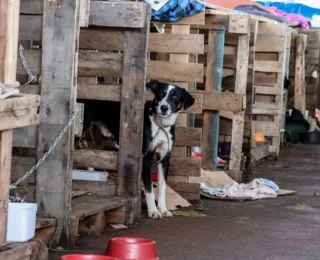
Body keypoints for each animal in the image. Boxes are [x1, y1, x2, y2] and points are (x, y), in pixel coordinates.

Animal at [143, 80, 194, 218]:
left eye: (175, 97)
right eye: (161, 93)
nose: (164, 108)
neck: (161, 125)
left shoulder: (164, 158)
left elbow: (162, 188)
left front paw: (163, 209)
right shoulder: (146, 157)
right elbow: (149, 188)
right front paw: (153, 211)